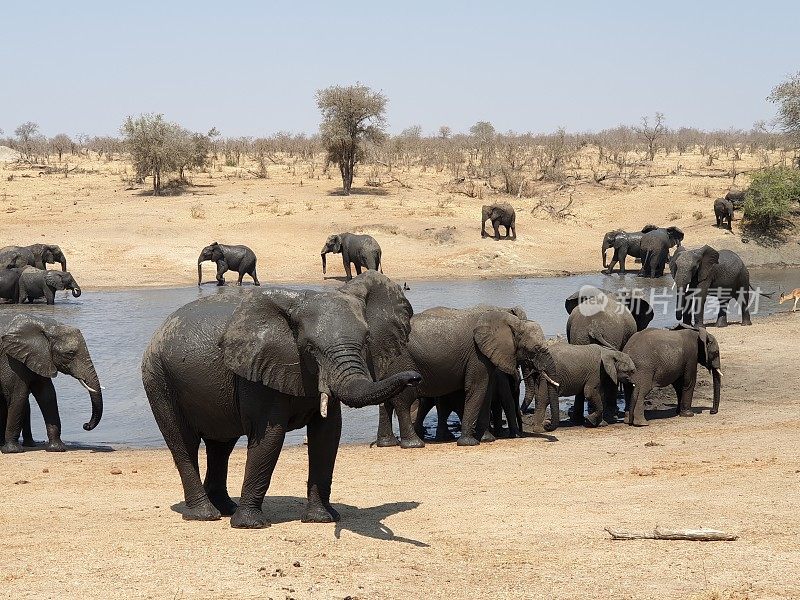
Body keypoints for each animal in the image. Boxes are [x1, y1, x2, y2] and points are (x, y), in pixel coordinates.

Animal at [0, 314, 103, 454]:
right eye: (70, 353)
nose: (85, 425)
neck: (46, 326)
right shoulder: (9, 359)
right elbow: (18, 395)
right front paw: (12, 450)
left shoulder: (40, 357)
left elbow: (48, 396)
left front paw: (57, 448)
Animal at [141, 274, 422, 528]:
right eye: (310, 348)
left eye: (366, 341)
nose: (415, 377)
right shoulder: (257, 373)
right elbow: (270, 437)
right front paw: (250, 525)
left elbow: (327, 434)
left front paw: (321, 519)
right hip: (158, 378)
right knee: (183, 443)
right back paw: (204, 514)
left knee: (221, 444)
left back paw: (225, 508)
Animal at [376, 308, 560, 448]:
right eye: (536, 349)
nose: (548, 426)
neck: (511, 322)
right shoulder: (476, 355)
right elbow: (477, 389)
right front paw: (470, 442)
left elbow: (486, 392)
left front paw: (486, 439)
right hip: (402, 362)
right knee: (403, 400)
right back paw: (414, 444)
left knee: (387, 400)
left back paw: (387, 444)